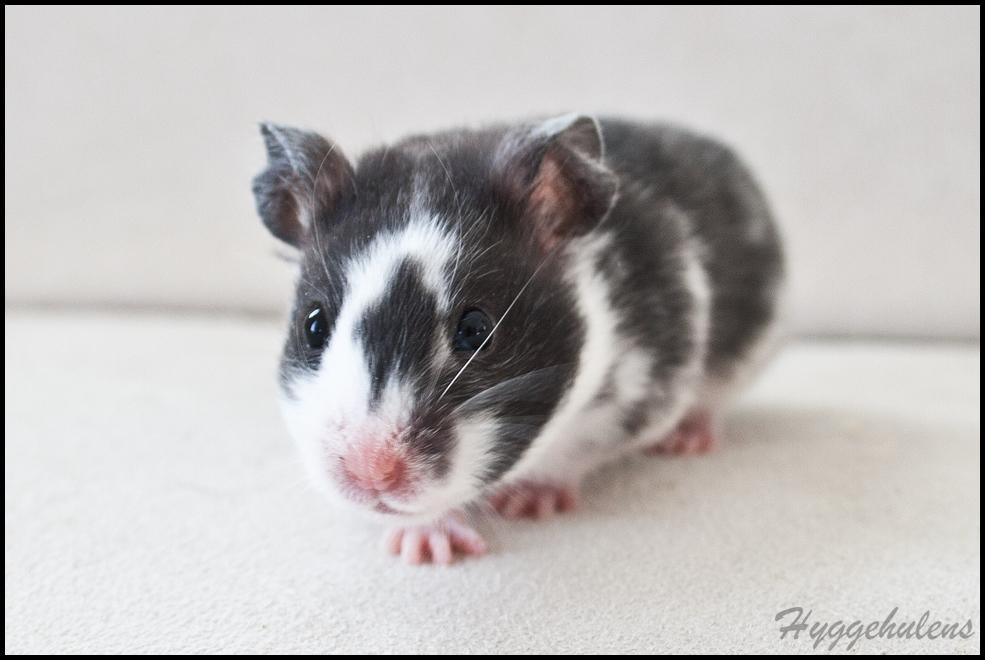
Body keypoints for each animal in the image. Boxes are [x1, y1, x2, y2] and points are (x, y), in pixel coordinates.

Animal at [251, 114, 784, 565]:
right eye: (313, 326)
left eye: (475, 330)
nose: (371, 475)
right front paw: (425, 551)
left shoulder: (643, 390)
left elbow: (572, 454)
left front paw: (526, 505)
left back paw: (687, 441)